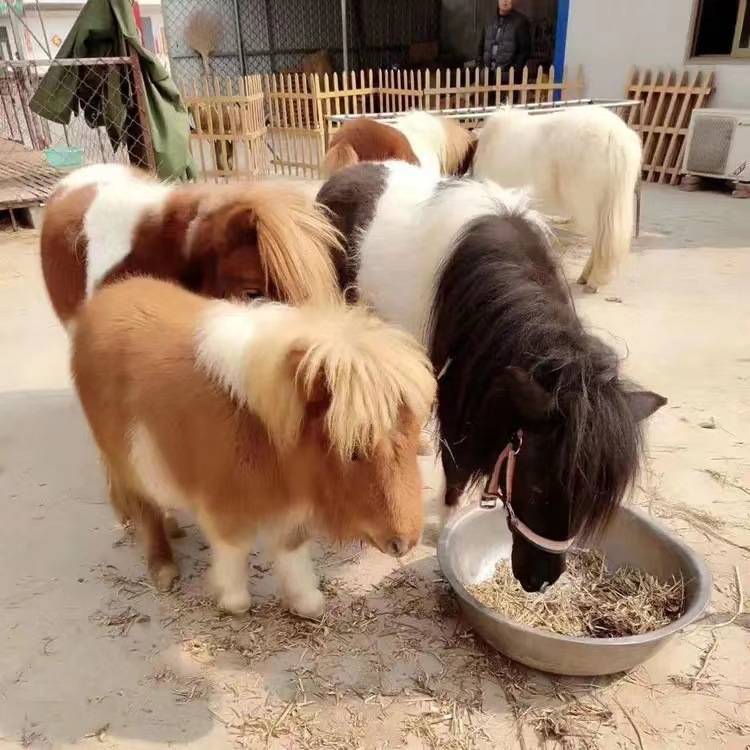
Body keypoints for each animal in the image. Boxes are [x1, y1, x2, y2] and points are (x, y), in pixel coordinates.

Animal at [71, 276, 436, 618]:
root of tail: (103, 299)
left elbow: (292, 555)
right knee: (145, 512)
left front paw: (308, 604)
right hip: (129, 462)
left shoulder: (291, 515)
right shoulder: (226, 510)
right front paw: (233, 603)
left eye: (413, 440)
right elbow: (234, 553)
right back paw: (164, 571)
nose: (405, 542)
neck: (267, 430)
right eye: (354, 452)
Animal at [317, 161, 666, 592]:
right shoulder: (458, 397)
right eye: (537, 485)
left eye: (588, 501)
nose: (540, 582)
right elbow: (455, 471)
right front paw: (445, 533)